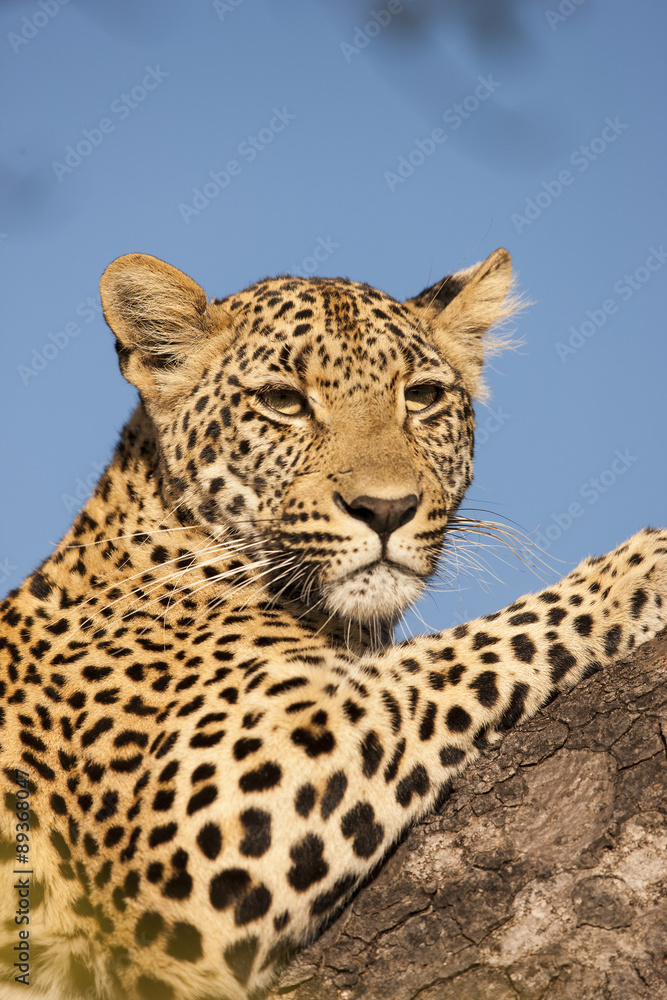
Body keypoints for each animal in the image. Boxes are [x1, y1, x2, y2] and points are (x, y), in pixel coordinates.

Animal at [1, 247, 666, 1000]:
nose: (386, 509)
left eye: (422, 397)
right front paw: (636, 569)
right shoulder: (192, 847)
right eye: (284, 402)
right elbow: (444, 661)